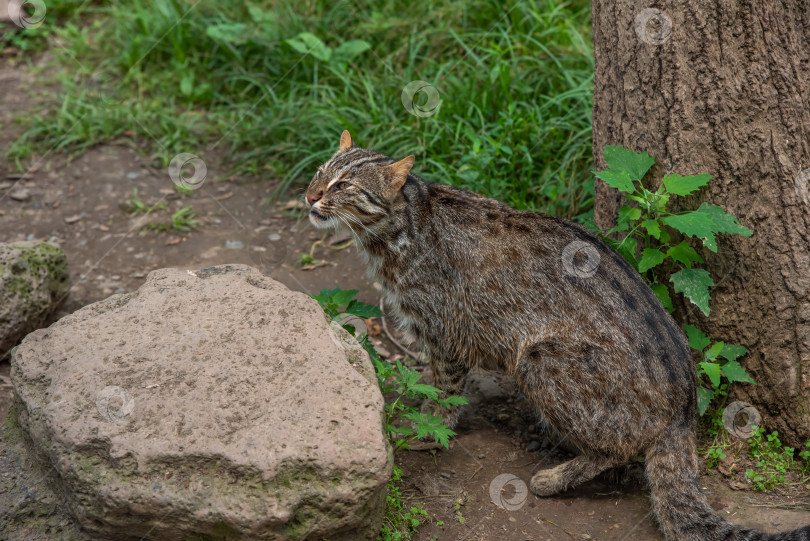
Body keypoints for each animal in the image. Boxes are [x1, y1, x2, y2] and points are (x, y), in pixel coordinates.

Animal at [304, 132, 808, 540]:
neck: (400, 226)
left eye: (344, 186)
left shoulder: (446, 334)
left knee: (617, 449)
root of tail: (684, 407)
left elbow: (444, 395)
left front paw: (427, 430)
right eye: (319, 172)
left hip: (538, 357)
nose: (309, 196)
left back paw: (556, 474)